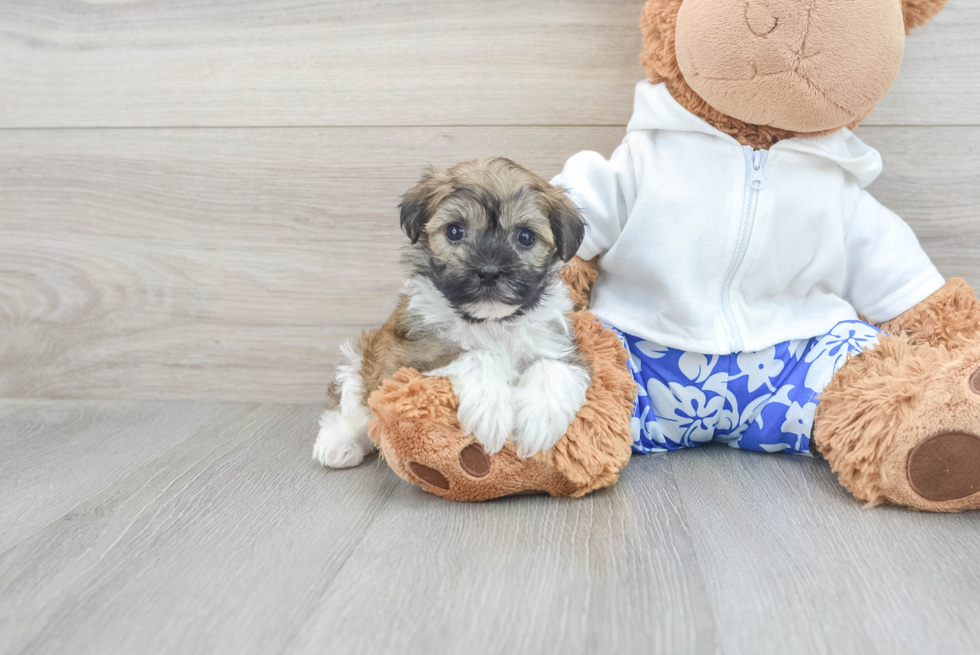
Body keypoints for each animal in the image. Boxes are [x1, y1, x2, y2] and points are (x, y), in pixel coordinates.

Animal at [314, 156, 588, 468]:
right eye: (455, 231)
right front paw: (491, 410)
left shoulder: (559, 345)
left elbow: (553, 366)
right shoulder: (410, 356)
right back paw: (339, 443)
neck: (491, 321)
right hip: (361, 359)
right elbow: (473, 354)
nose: (489, 271)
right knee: (348, 398)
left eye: (526, 237)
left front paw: (539, 421)